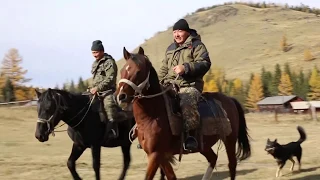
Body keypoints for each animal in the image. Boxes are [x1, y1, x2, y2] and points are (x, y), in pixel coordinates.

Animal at [114, 46, 251, 180]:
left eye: (138, 71)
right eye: (122, 71)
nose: (121, 96)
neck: (152, 117)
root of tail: (230, 100)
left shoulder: (155, 154)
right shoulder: (161, 155)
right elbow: (171, 176)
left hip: (230, 139)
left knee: (232, 165)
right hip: (204, 146)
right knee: (213, 158)